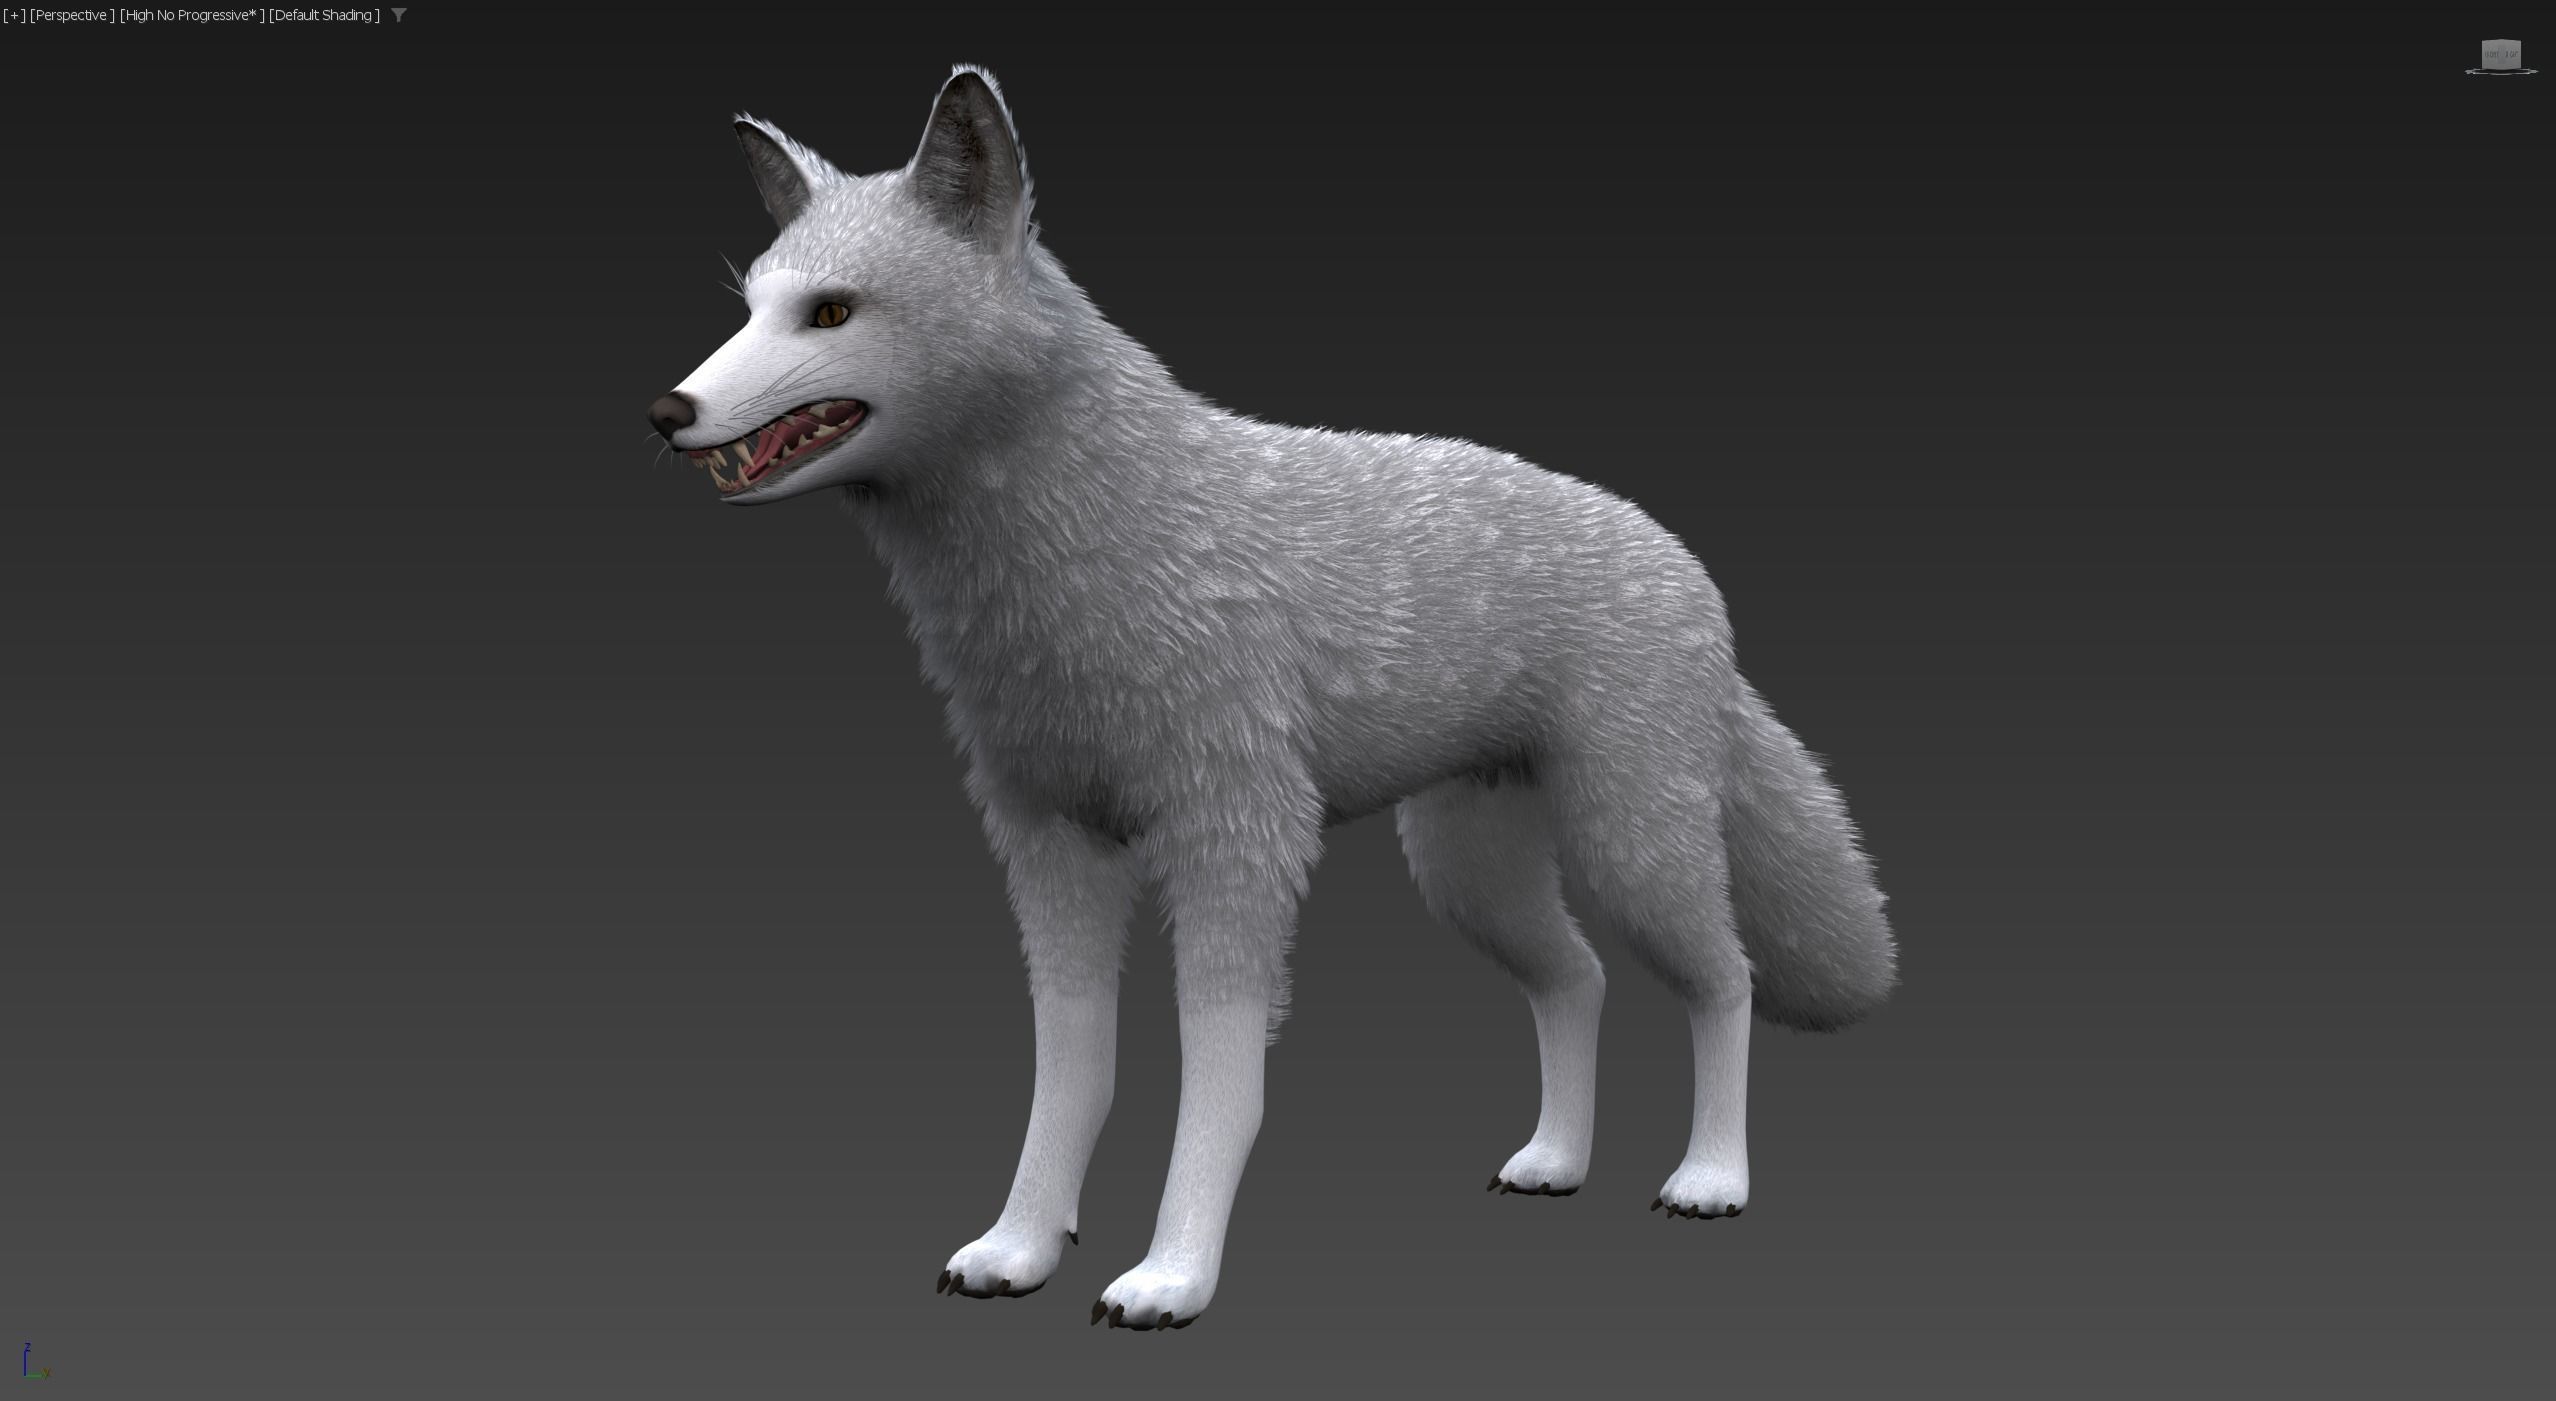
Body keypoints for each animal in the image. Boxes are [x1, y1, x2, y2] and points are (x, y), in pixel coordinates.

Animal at [645, 65, 1897, 1330]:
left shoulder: (1236, 838)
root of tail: (1684, 566)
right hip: (1472, 876)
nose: (667, 411)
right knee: (1578, 982)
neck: (1081, 562)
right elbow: (1071, 1076)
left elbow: (1220, 1084)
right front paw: (1021, 1245)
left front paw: (1171, 1275)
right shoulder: (1051, 846)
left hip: (1630, 848)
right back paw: (1555, 1161)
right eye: (749, 308)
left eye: (831, 315)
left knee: (1726, 982)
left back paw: (1712, 1177)